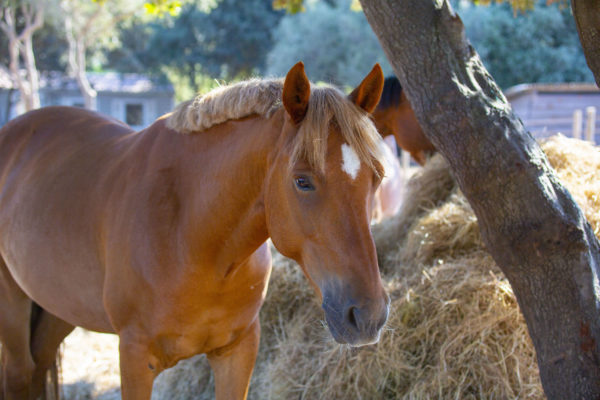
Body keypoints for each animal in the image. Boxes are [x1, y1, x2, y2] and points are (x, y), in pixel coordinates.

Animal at [0, 63, 390, 400]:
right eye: (302, 181)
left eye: (377, 177)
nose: (368, 316)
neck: (193, 236)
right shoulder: (135, 357)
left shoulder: (237, 351)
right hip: (13, 305)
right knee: (19, 376)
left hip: (57, 309)